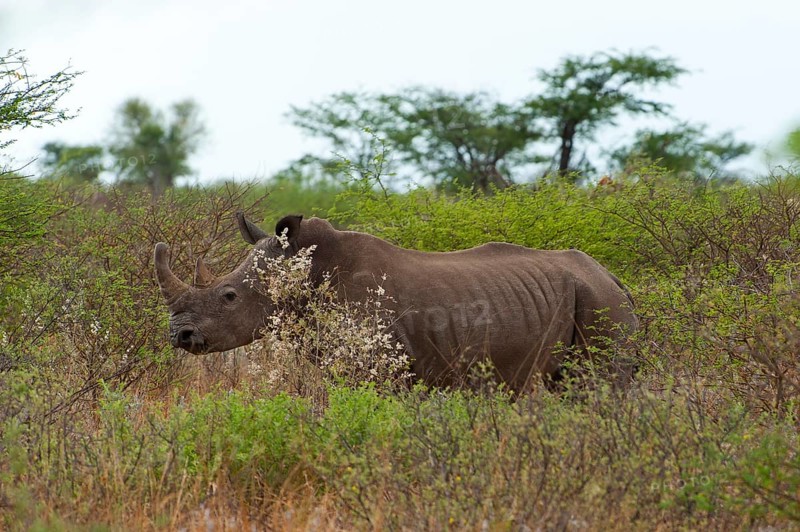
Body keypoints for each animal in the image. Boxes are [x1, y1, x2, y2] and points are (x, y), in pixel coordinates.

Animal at [154, 213, 638, 390]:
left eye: (229, 296)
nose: (180, 335)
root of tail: (614, 277)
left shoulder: (381, 367)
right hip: (586, 294)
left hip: (602, 302)